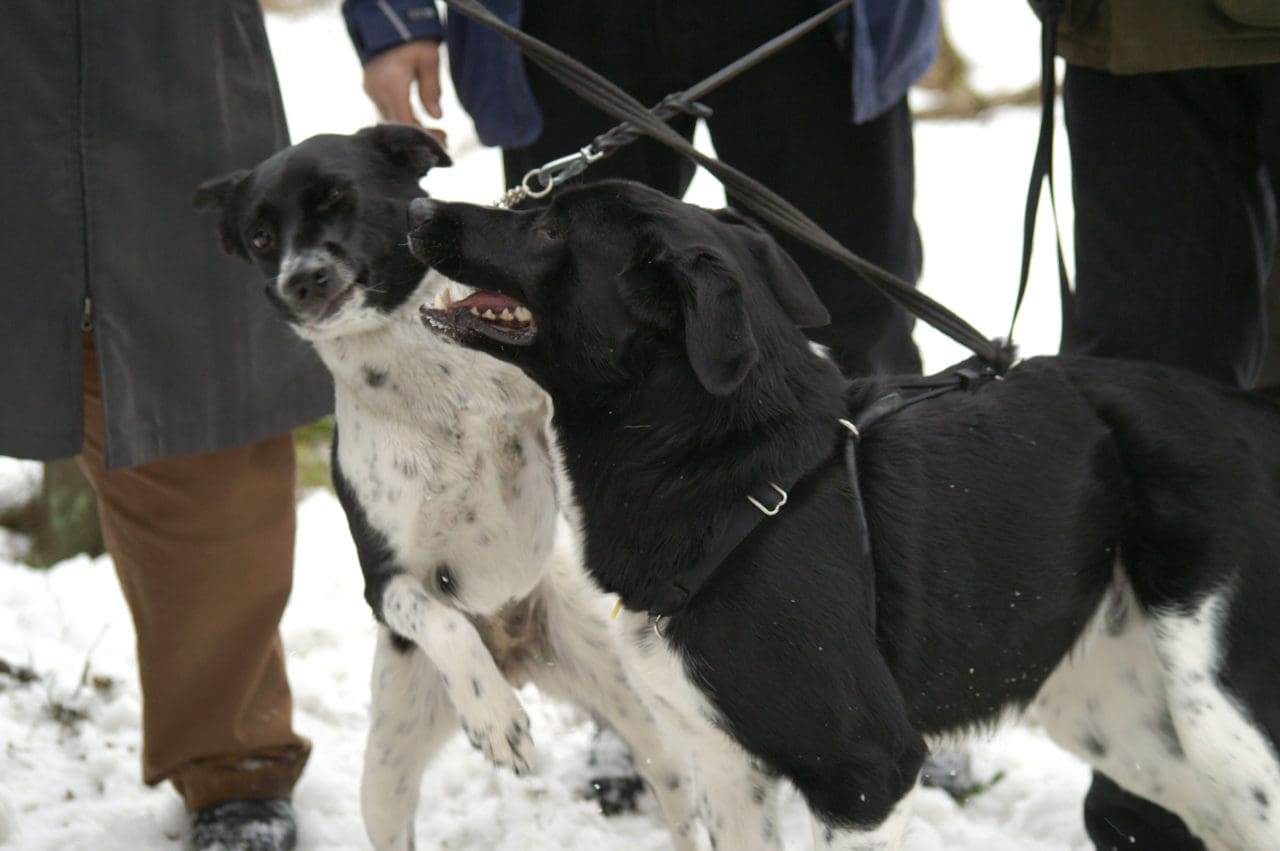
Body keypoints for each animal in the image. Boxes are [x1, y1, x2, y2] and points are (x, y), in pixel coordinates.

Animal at [404, 180, 1280, 849]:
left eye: (549, 226)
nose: (417, 208)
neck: (743, 481)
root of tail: (1251, 408)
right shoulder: (728, 765)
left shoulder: (866, 773)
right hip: (1123, 718)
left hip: (1223, 722)